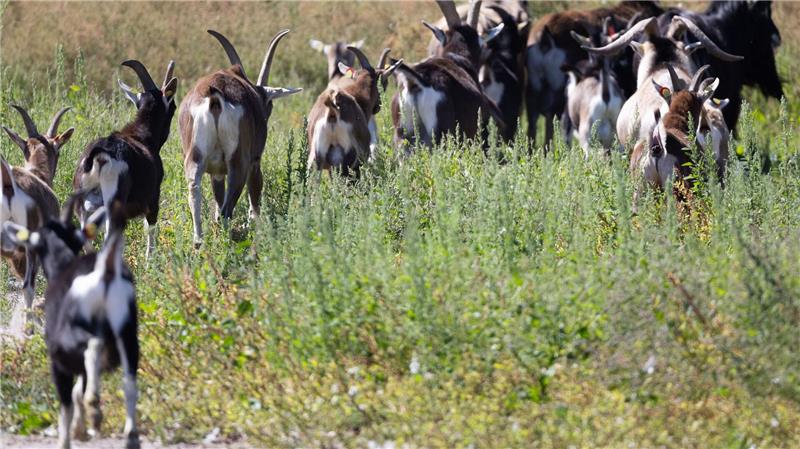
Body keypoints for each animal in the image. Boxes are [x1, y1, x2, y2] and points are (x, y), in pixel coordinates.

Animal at [2, 193, 138, 449]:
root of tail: (105, 272)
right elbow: (77, 390)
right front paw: (80, 429)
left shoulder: (58, 361)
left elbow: (66, 403)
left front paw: (69, 436)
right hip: (127, 337)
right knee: (129, 382)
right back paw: (130, 435)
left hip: (74, 337)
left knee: (93, 348)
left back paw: (95, 407)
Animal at [73, 60, 177, 258]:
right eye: (173, 106)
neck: (140, 135)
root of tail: (99, 155)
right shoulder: (153, 197)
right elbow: (150, 228)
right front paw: (149, 259)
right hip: (113, 204)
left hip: (83, 204)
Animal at [179, 30, 301, 247]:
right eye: (268, 103)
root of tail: (214, 95)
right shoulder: (255, 161)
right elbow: (254, 192)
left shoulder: (217, 172)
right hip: (239, 162)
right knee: (227, 208)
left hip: (194, 159)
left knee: (195, 191)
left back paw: (199, 243)